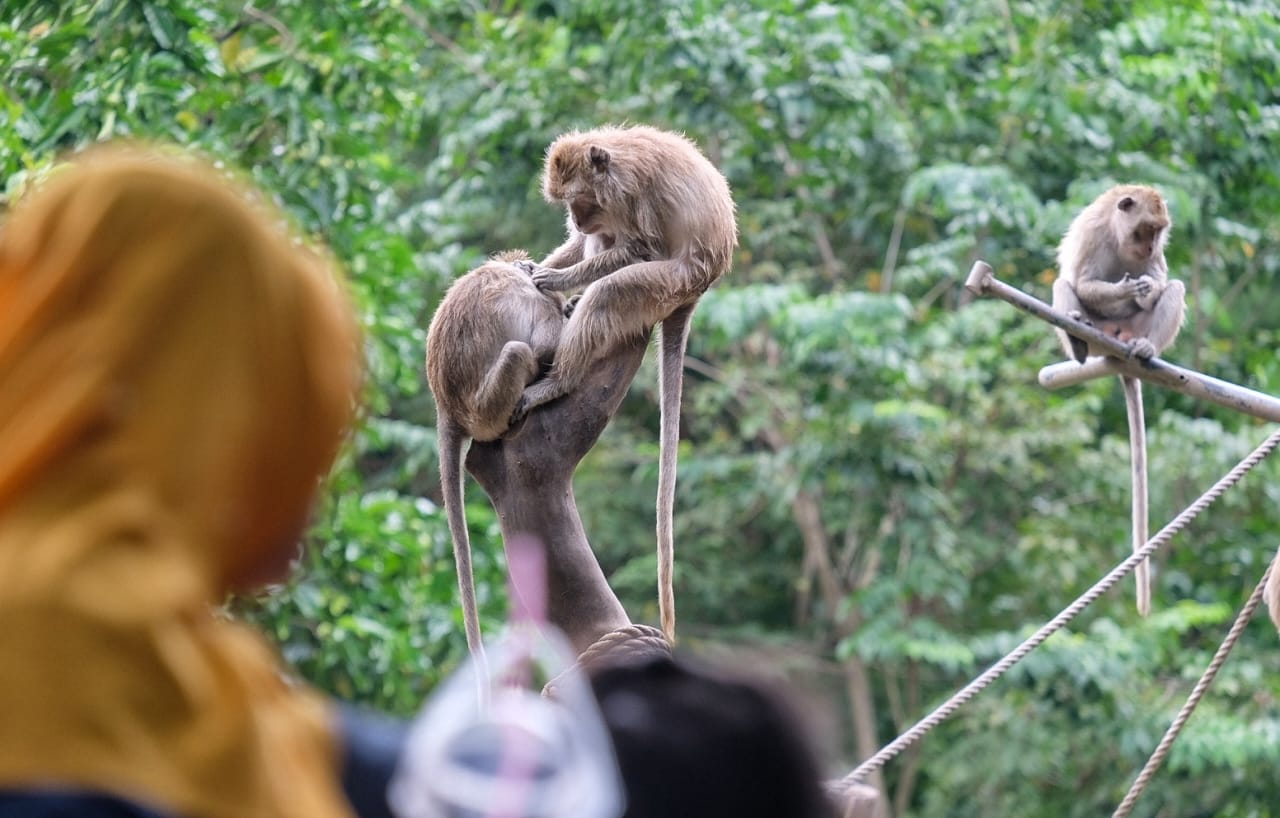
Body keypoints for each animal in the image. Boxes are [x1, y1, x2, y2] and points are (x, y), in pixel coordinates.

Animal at [1049, 185, 1187, 617]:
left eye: (1158, 232)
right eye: (1146, 229)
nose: (1150, 248)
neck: (1117, 230)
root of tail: (1117, 341)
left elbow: (1161, 279)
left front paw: (1148, 288)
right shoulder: (1093, 233)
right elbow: (1081, 280)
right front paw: (1126, 289)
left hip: (1136, 329)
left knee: (1175, 289)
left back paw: (1145, 348)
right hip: (1097, 335)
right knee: (1062, 286)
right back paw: (1078, 342)